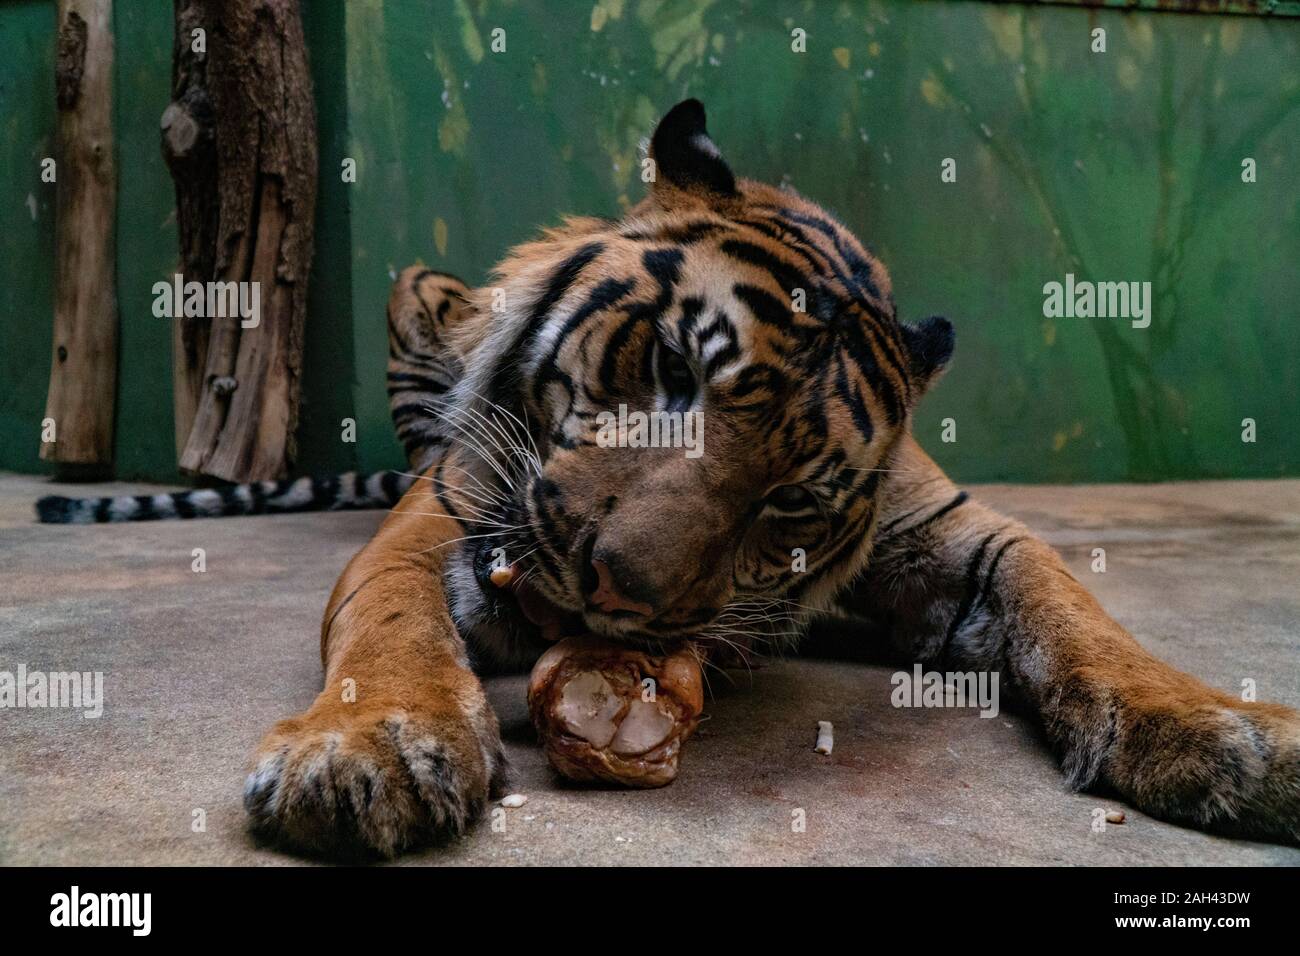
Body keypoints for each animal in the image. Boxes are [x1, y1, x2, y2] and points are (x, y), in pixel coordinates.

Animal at [40, 100, 1300, 857]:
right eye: (673, 369)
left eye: (788, 497)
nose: (612, 588)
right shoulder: (440, 515)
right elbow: (390, 622)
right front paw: (366, 751)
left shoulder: (959, 531)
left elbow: (1082, 617)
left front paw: (1230, 731)